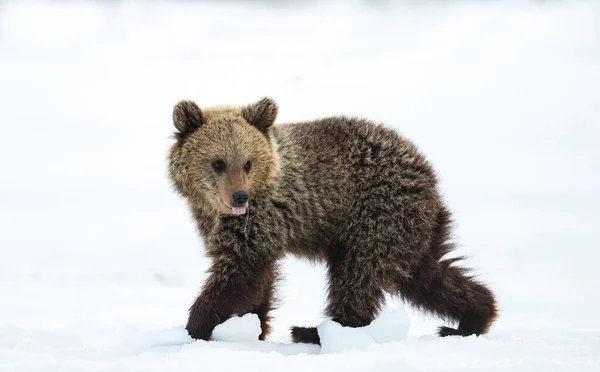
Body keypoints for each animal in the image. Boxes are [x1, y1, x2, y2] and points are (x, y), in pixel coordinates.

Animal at [165, 96, 496, 342]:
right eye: (218, 163)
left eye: (248, 162)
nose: (239, 197)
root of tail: (426, 171)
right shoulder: (229, 226)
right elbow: (257, 280)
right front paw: (252, 326)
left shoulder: (261, 221)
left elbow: (240, 272)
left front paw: (195, 326)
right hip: (412, 229)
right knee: (429, 274)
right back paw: (473, 318)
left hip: (374, 218)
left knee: (357, 276)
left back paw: (315, 331)